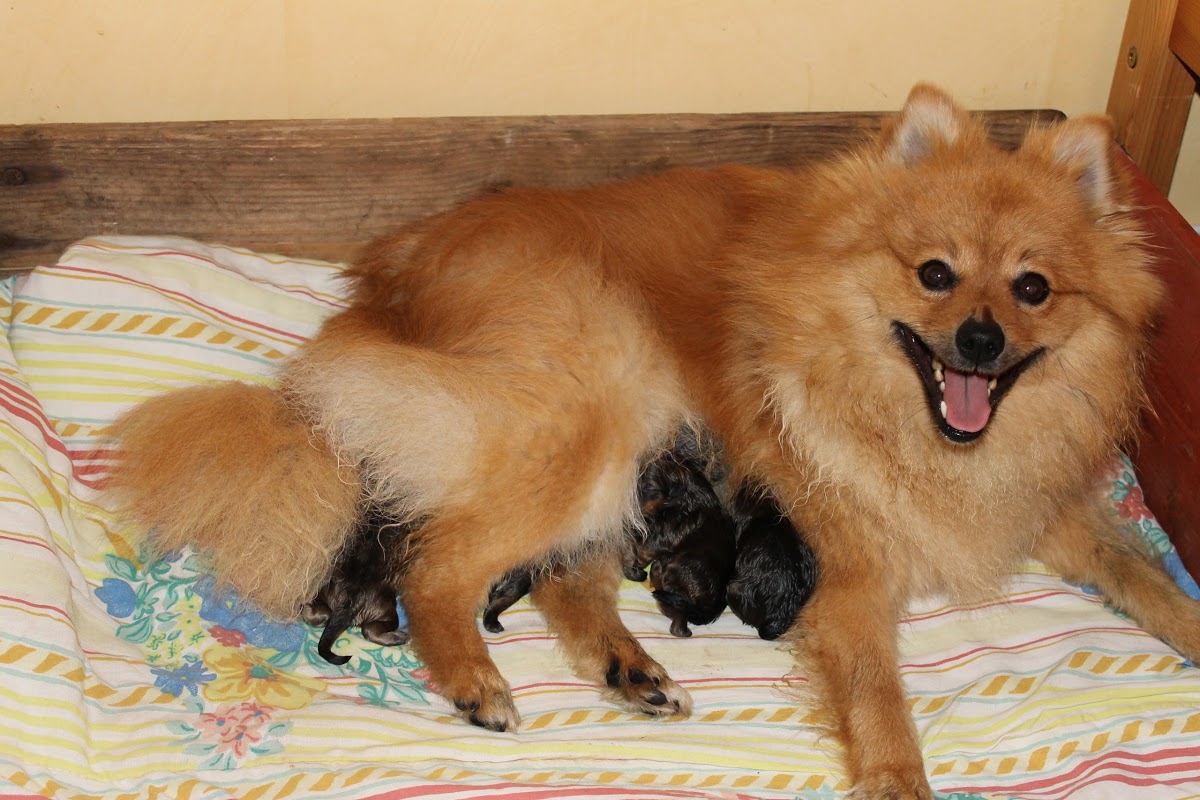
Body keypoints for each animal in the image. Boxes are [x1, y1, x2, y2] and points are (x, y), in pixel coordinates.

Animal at [300, 503, 412, 666]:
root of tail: (352, 597)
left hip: (324, 592)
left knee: (324, 614)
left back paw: (305, 605)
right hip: (385, 611)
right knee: (370, 629)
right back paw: (401, 636)